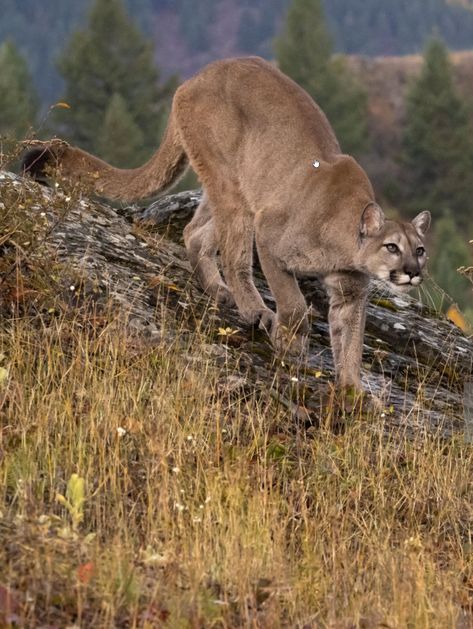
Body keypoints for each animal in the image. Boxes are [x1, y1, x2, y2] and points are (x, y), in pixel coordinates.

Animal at [24, 56, 430, 390]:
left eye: (421, 250)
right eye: (392, 247)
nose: (413, 272)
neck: (345, 243)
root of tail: (194, 78)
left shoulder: (350, 292)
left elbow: (351, 342)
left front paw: (353, 393)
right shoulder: (270, 238)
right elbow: (294, 305)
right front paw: (289, 342)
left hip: (230, 187)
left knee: (194, 232)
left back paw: (217, 290)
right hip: (235, 193)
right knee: (233, 258)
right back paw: (254, 310)